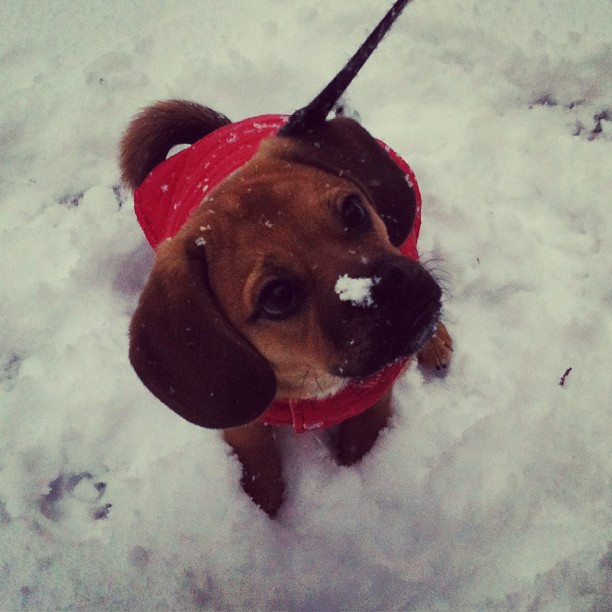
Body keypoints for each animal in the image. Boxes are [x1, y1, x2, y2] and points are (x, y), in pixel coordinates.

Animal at [120, 2, 454, 516]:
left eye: (354, 210)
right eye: (277, 297)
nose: (390, 287)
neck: (310, 387)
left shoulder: (376, 397)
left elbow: (358, 444)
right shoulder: (240, 420)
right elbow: (256, 455)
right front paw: (264, 509)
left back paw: (436, 342)